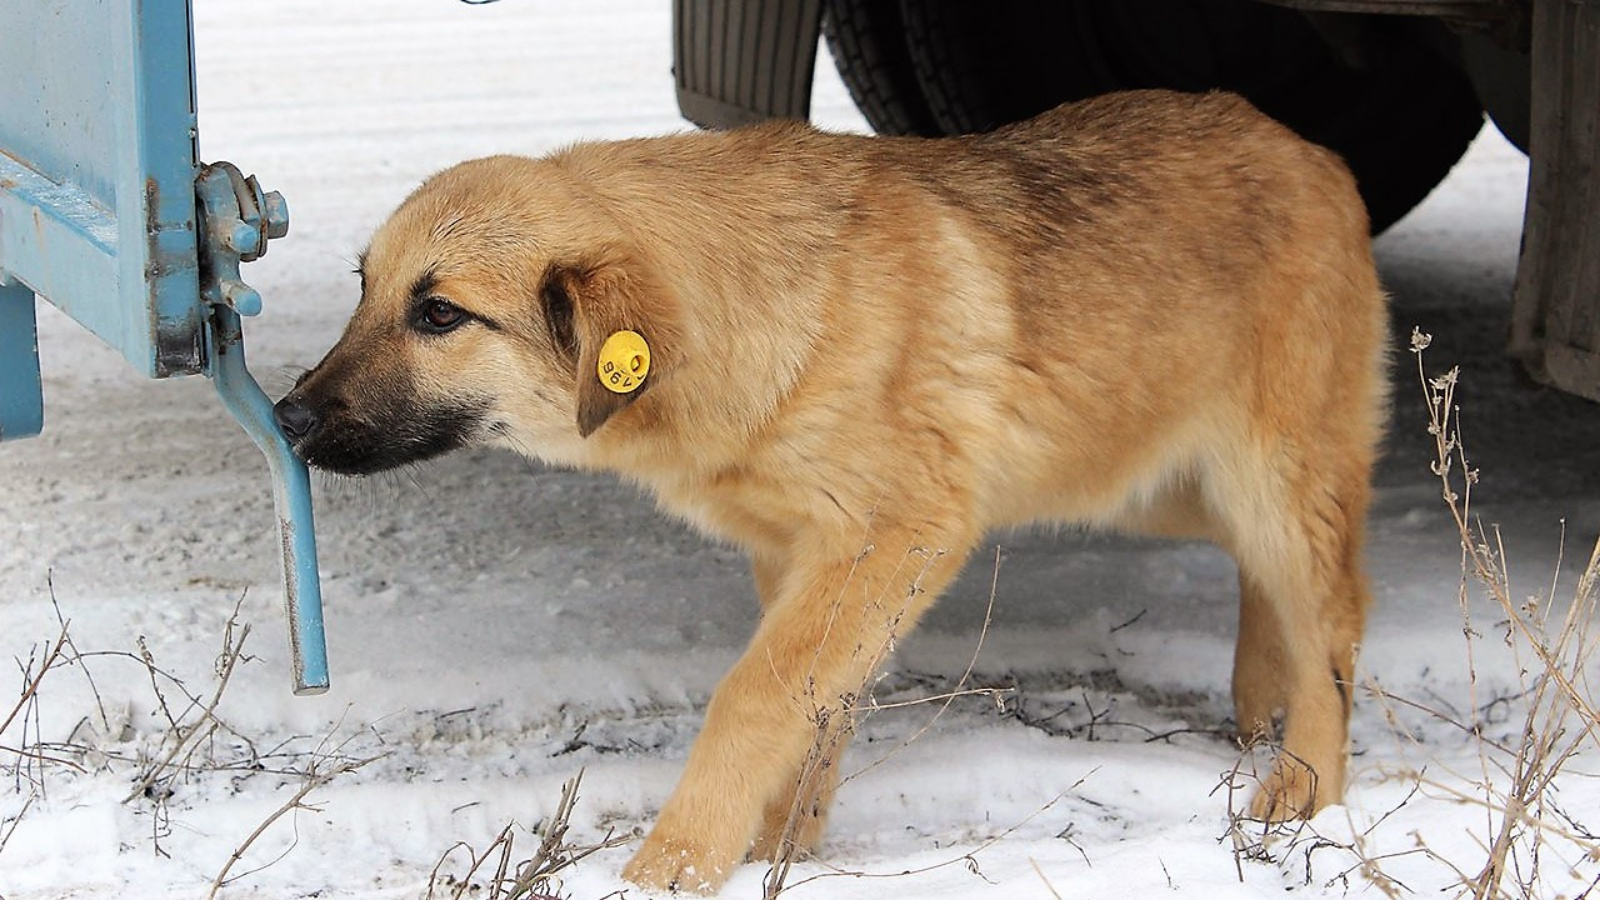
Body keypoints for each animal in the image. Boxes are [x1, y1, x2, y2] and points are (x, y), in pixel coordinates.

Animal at [275, 89, 1388, 890]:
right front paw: (779, 848)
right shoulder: (802, 558)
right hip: (1149, 476)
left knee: (1334, 612)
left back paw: (1303, 785)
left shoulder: (891, 539)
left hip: (1268, 477)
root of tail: (1317, 154)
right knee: (1266, 582)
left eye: (440, 314)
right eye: (366, 289)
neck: (762, 308)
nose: (287, 420)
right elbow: (816, 705)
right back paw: (1258, 705)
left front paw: (677, 863)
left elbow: (756, 695)